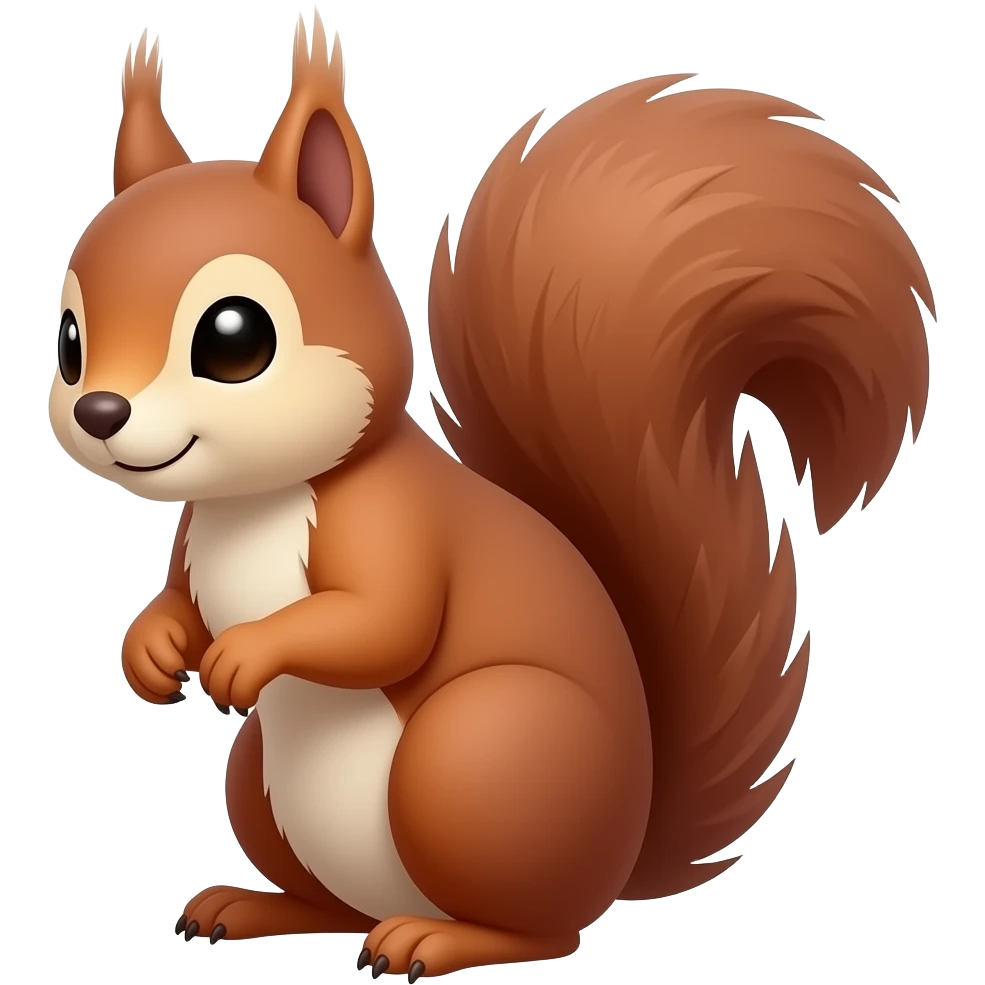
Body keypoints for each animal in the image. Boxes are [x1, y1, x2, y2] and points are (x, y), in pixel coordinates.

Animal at [48, 9, 933, 979]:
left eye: (235, 338)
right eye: (68, 340)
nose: (98, 411)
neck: (257, 501)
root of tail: (619, 856)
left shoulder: (395, 524)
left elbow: (382, 622)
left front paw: (244, 652)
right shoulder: (193, 538)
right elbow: (177, 598)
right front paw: (151, 648)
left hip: (478, 755)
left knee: (542, 928)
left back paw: (435, 940)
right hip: (264, 782)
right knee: (335, 904)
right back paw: (255, 906)